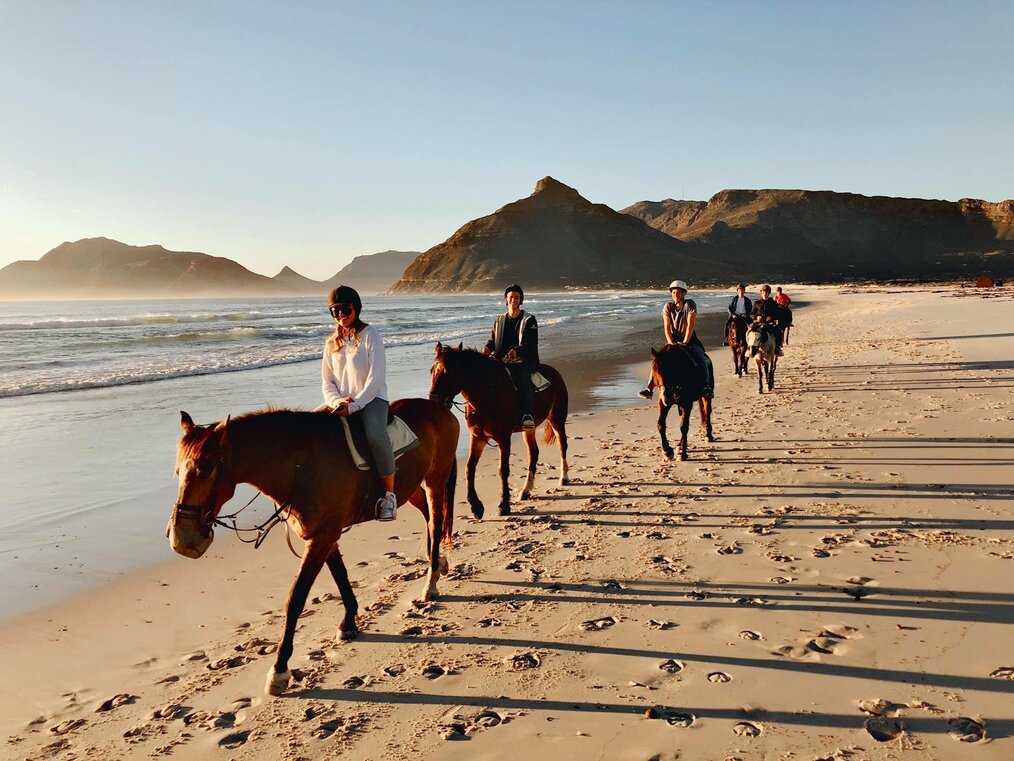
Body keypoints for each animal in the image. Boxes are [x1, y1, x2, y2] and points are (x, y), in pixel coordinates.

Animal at [168, 399, 458, 697]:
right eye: (178, 472)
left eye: (205, 472)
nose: (182, 539)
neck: (301, 464)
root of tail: (438, 407)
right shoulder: (323, 536)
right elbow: (340, 577)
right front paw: (349, 623)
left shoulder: (323, 536)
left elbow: (296, 599)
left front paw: (280, 669)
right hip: (410, 488)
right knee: (428, 517)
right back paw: (438, 565)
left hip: (436, 479)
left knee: (436, 522)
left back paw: (431, 581)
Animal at [429, 342, 569, 518]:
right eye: (432, 370)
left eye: (448, 372)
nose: (433, 400)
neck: (486, 393)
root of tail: (555, 371)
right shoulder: (478, 437)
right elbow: (469, 468)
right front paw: (476, 507)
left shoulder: (504, 437)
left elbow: (503, 470)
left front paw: (504, 505)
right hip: (528, 430)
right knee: (533, 453)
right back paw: (526, 490)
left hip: (557, 418)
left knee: (562, 445)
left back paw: (564, 478)